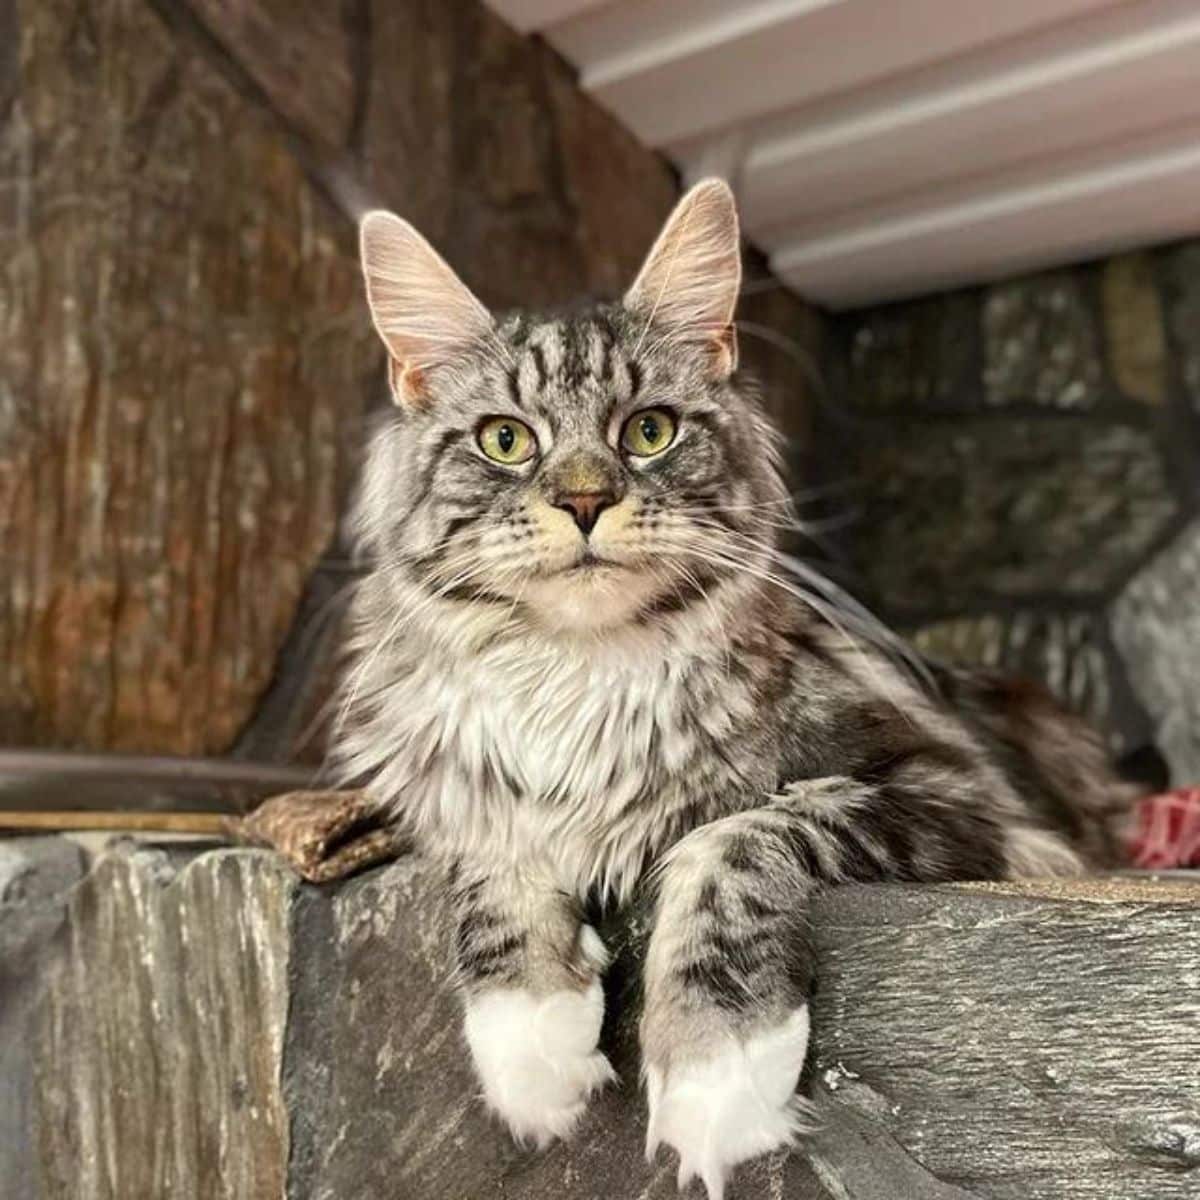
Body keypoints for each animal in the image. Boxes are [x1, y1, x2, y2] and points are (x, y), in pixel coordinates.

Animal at [331, 174, 1132, 1195]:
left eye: (649, 431)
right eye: (506, 441)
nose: (585, 501)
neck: (581, 670)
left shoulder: (964, 799)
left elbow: (732, 841)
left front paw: (718, 1071)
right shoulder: (447, 793)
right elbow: (493, 860)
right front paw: (533, 1050)